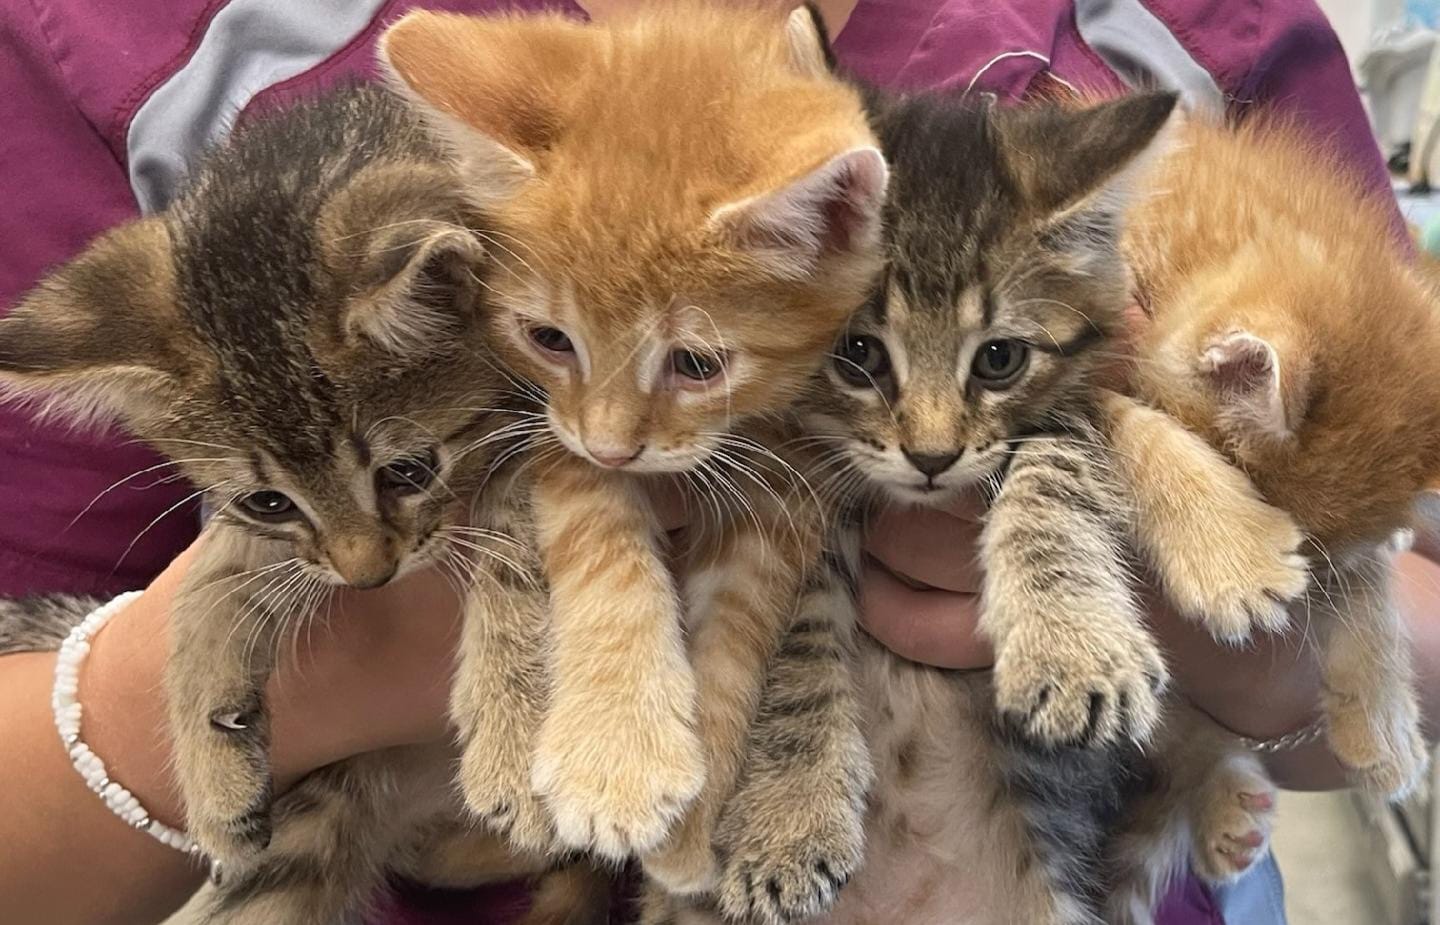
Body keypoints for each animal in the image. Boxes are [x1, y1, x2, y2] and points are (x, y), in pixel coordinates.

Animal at [0, 85, 604, 924]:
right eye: (268, 499)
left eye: (408, 470)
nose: (368, 576)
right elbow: (211, 575)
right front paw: (207, 748)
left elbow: (516, 547)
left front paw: (516, 732)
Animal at [378, 1, 886, 906]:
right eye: (549, 338)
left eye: (698, 364)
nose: (616, 448)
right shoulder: (550, 425)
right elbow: (600, 542)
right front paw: (617, 747)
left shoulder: (800, 464)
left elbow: (740, 630)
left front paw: (685, 831)